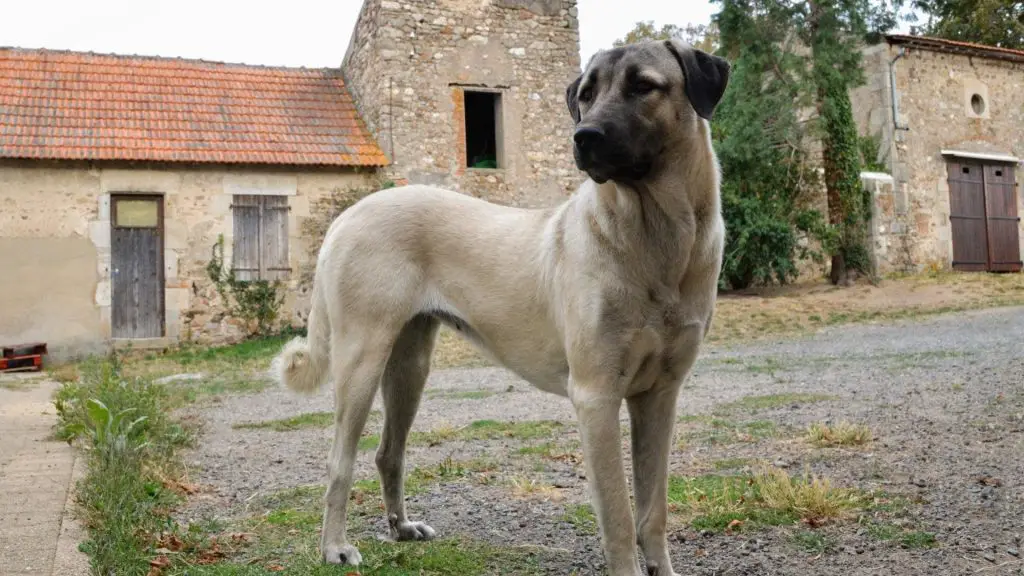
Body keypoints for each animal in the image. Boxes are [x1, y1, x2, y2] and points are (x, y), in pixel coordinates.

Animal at [274, 39, 729, 573]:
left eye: (643, 85)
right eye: (587, 93)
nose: (583, 137)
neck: (656, 236)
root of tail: (349, 213)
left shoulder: (660, 395)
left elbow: (653, 509)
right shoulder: (595, 396)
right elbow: (618, 516)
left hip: (409, 364)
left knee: (389, 452)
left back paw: (402, 528)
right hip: (361, 358)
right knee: (339, 461)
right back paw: (334, 546)